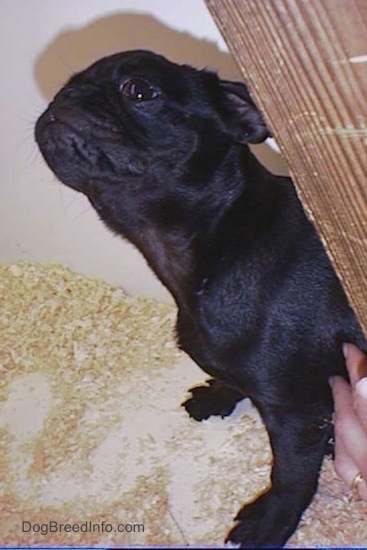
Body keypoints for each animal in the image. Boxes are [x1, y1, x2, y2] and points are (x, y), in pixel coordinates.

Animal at [36, 49, 366, 548]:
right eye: (69, 83)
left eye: (140, 90)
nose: (66, 95)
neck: (221, 239)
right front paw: (218, 393)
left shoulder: (297, 412)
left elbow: (290, 474)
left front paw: (270, 522)